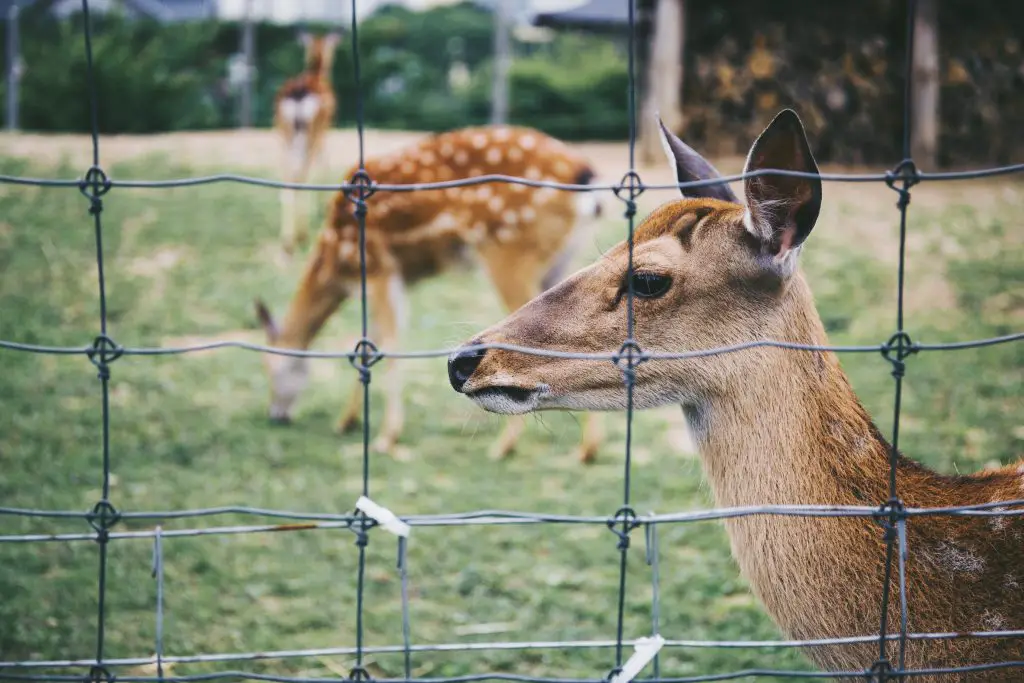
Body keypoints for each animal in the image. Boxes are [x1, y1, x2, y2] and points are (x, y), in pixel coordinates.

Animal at [256, 123, 606, 464]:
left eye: (271, 369)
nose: (276, 416)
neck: (336, 261)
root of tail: (585, 176)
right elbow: (370, 339)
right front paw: (347, 421)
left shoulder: (380, 267)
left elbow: (388, 342)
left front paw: (386, 438)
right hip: (562, 260)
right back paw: (585, 450)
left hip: (510, 249)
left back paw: (503, 447)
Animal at [274, 31, 342, 253]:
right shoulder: (325, 128)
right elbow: (324, 162)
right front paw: (322, 208)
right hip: (311, 130)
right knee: (302, 174)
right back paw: (300, 237)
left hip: (283, 131)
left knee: (288, 178)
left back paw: (288, 241)